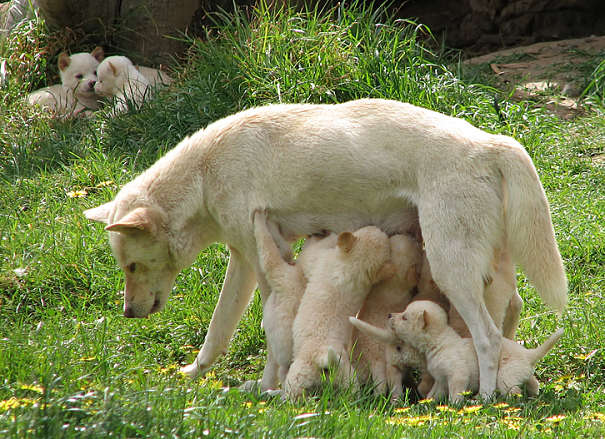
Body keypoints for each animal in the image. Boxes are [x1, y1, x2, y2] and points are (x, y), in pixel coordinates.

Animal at [284, 225, 396, 400]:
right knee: (352, 391)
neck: (354, 267)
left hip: (299, 374)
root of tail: (324, 362)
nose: (377, 226)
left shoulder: (317, 259)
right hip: (346, 375)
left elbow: (313, 250)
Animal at [390, 302, 564, 402]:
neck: (439, 342)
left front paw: (453, 407)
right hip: (521, 373)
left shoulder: (458, 375)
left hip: (504, 377)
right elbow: (435, 393)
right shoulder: (441, 379)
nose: (389, 314)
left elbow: (455, 393)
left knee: (514, 392)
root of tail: (529, 354)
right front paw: (429, 404)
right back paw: (534, 396)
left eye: (405, 317)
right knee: (533, 383)